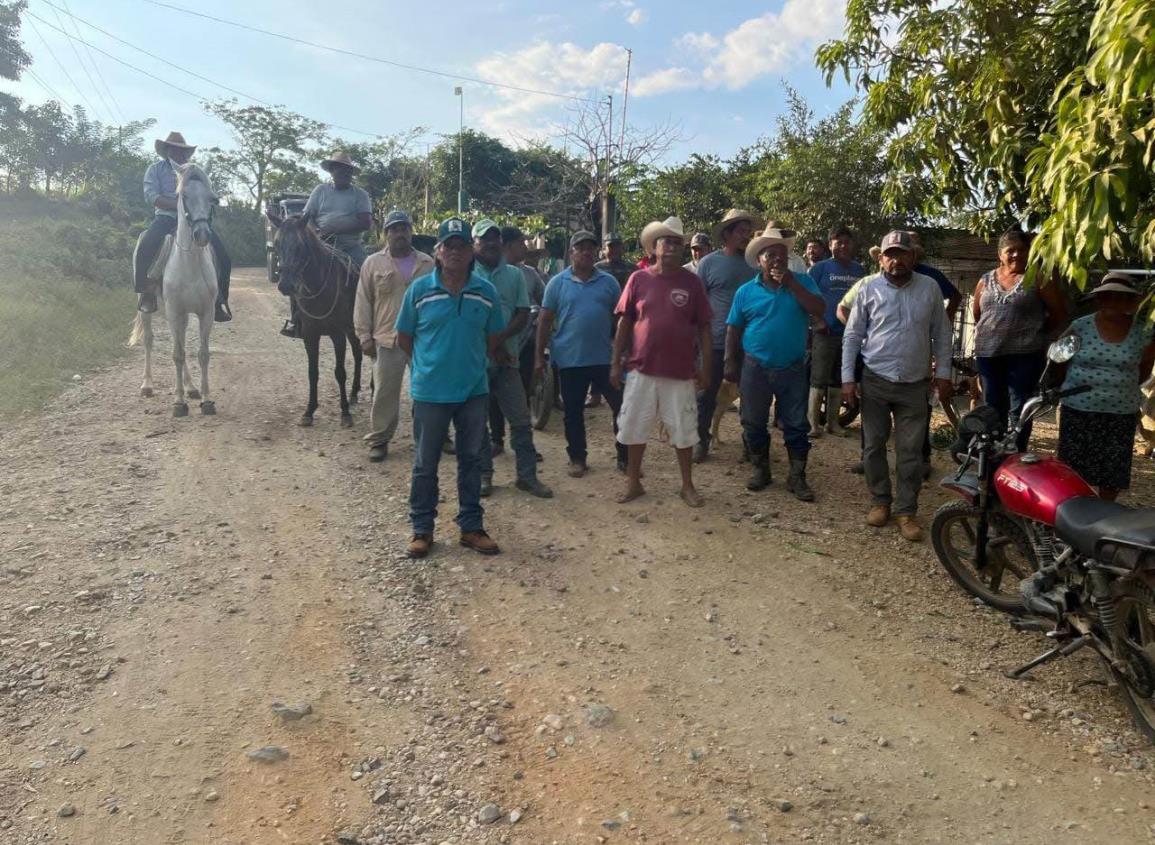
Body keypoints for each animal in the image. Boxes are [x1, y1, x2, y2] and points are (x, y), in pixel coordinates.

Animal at [131, 161, 220, 415]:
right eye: (183, 196)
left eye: (212, 198)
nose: (202, 235)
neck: (189, 261)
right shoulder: (173, 311)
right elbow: (178, 355)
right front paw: (179, 403)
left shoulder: (206, 312)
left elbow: (202, 354)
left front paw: (206, 400)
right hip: (147, 306)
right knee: (149, 340)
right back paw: (147, 385)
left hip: (184, 315)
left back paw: (191, 388)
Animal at [270, 215, 360, 424]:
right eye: (277, 244)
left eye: (300, 246)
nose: (285, 285)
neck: (318, 287)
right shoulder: (310, 335)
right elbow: (312, 372)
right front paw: (309, 411)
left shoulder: (338, 334)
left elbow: (340, 372)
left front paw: (345, 412)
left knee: (362, 354)